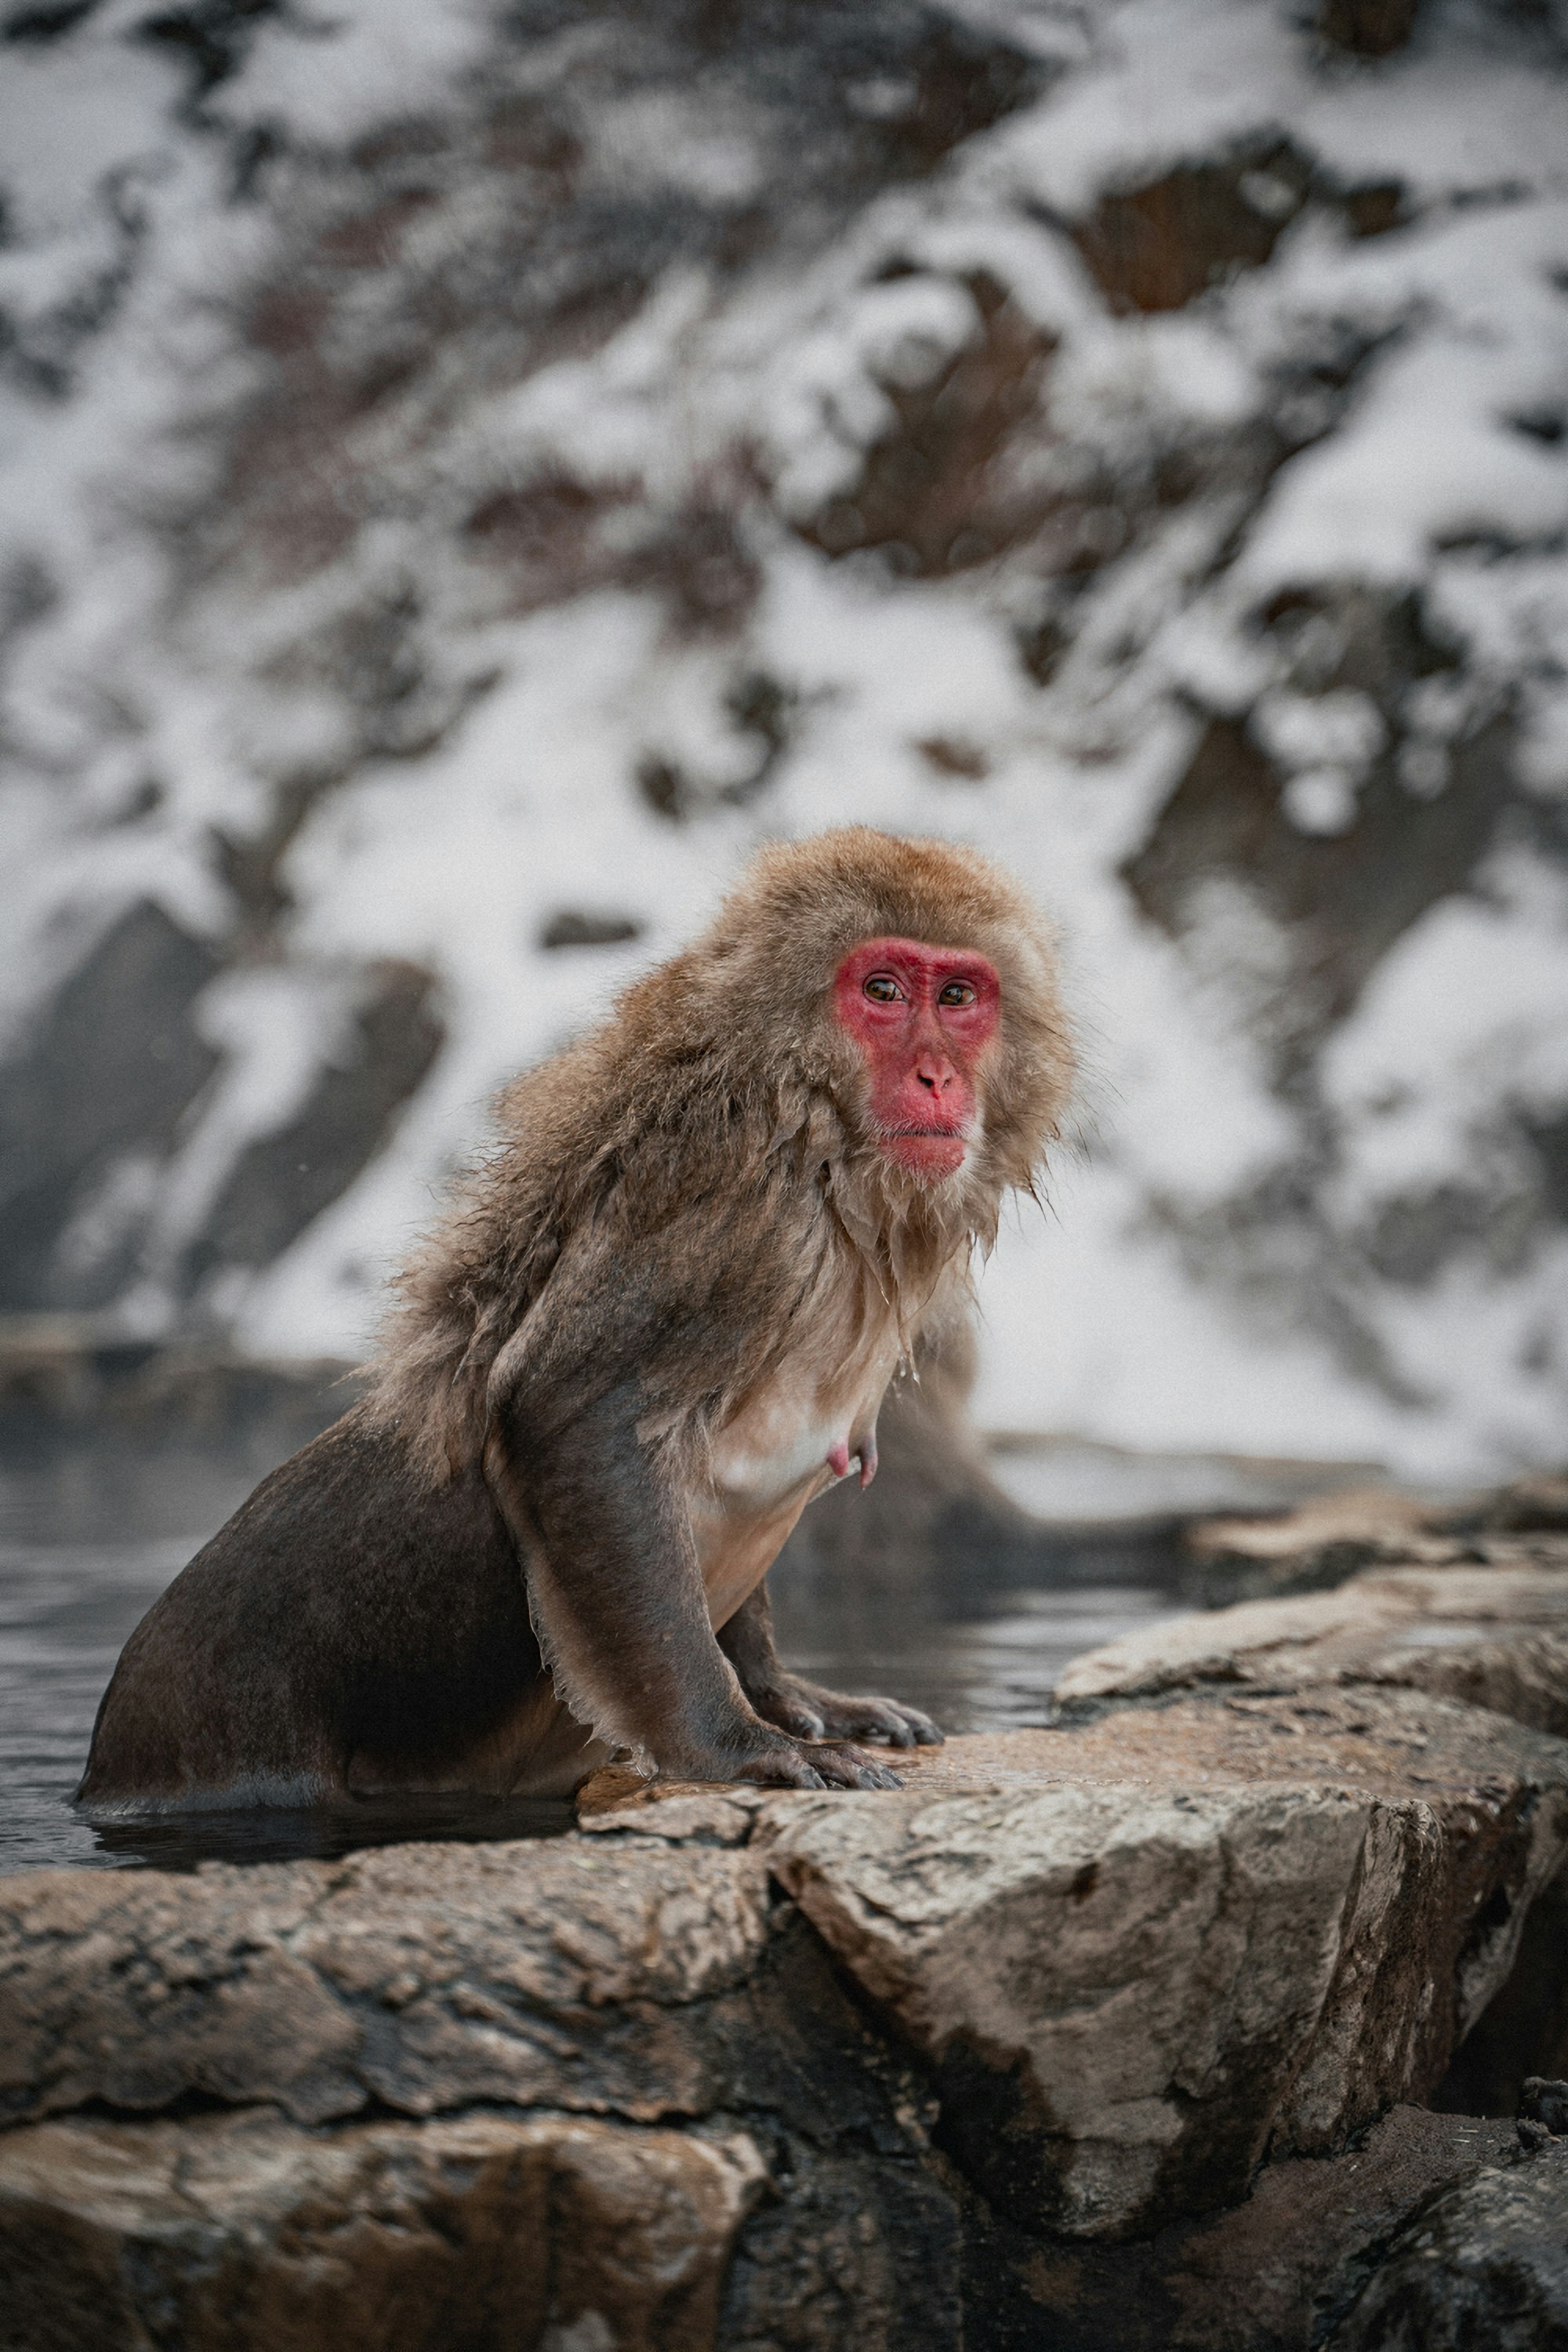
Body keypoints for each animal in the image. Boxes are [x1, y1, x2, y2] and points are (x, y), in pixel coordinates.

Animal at [79, 828, 1072, 1810]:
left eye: (956, 995)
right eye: (882, 991)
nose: (935, 1075)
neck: (817, 1140)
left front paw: (787, 1696)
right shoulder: (730, 1216)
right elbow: (576, 1421)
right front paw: (734, 1742)